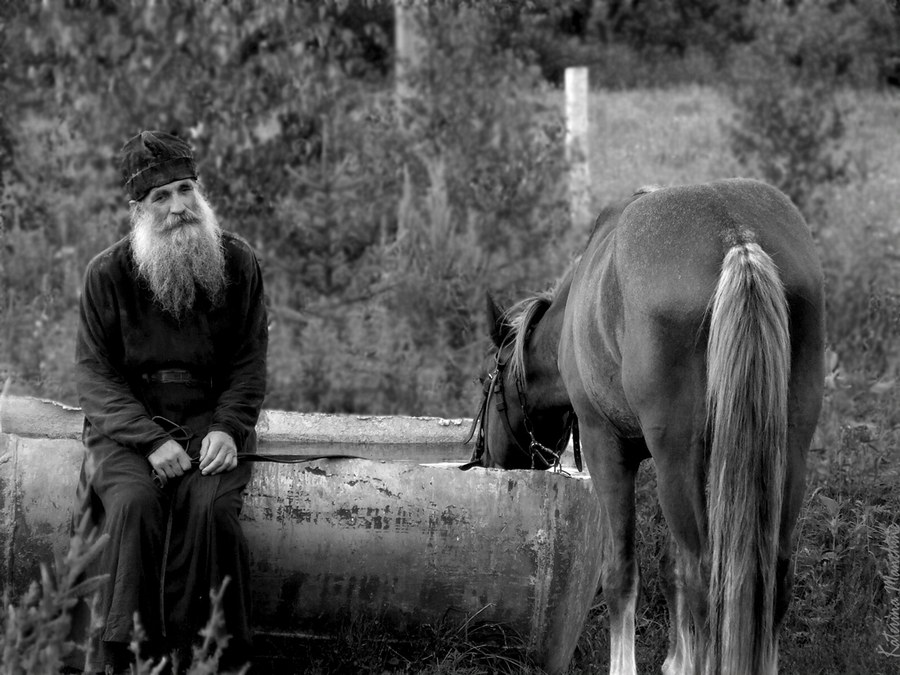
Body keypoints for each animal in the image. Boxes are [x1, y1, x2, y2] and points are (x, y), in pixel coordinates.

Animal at [468, 177, 828, 672]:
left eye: (488, 381)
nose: (485, 456)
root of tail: (738, 239)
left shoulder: (608, 448)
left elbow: (622, 574)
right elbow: (669, 566)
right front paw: (679, 661)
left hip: (678, 456)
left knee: (702, 575)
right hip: (785, 452)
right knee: (773, 570)